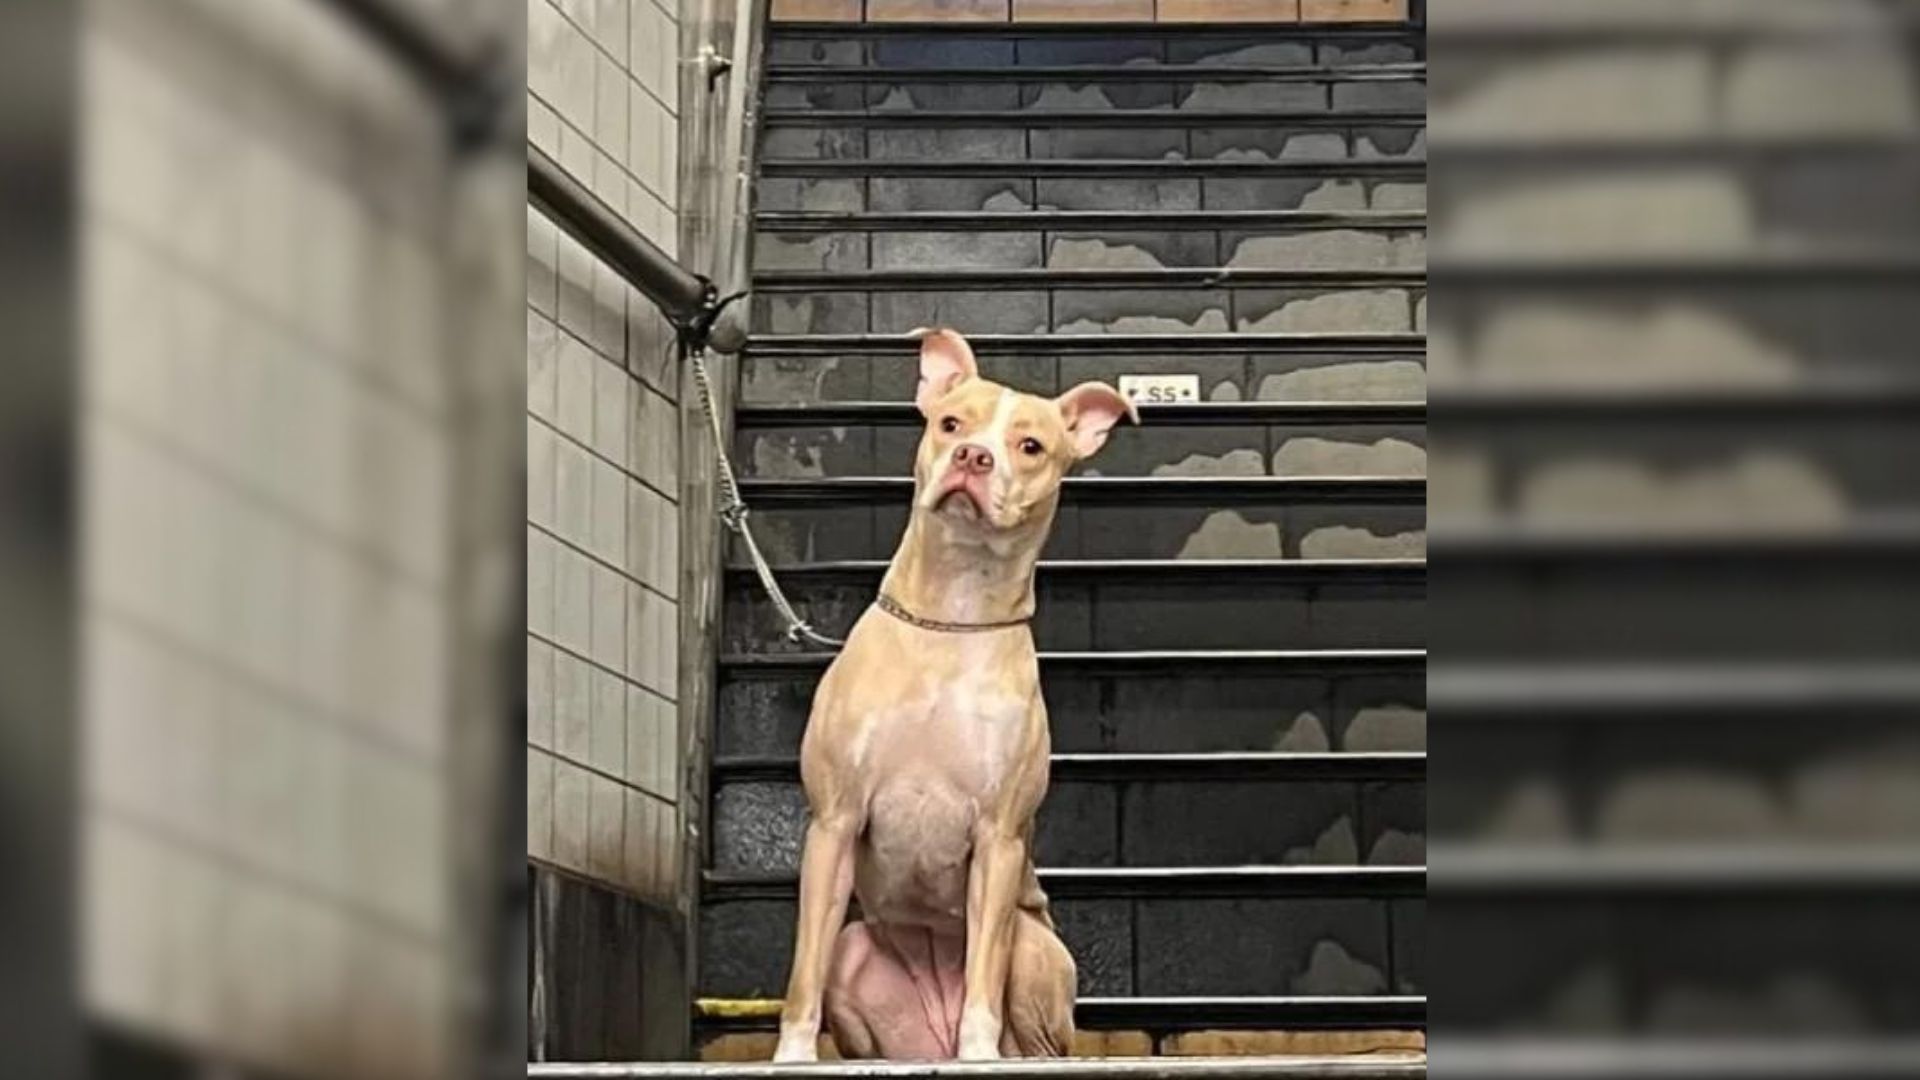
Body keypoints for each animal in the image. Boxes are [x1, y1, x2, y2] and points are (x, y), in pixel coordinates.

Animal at [771, 328, 1136, 1060]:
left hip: (1033, 954)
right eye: (950, 424)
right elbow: (804, 970)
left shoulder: (998, 840)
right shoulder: (834, 821)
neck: (955, 612)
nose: (974, 456)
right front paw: (791, 1056)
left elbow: (983, 978)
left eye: (1031, 446)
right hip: (858, 955)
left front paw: (978, 1056)